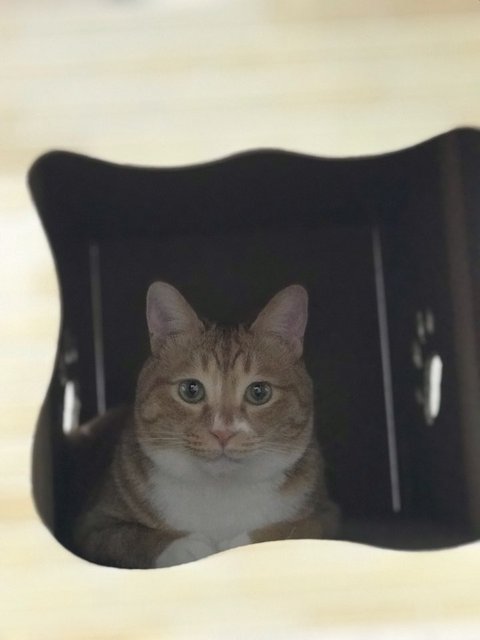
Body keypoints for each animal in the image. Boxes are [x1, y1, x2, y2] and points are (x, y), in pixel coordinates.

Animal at [69, 282, 339, 568]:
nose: (223, 432)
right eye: (191, 390)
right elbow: (130, 537)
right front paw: (183, 547)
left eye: (259, 392)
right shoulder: (92, 524)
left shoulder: (326, 515)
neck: (219, 491)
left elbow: (294, 530)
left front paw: (239, 547)